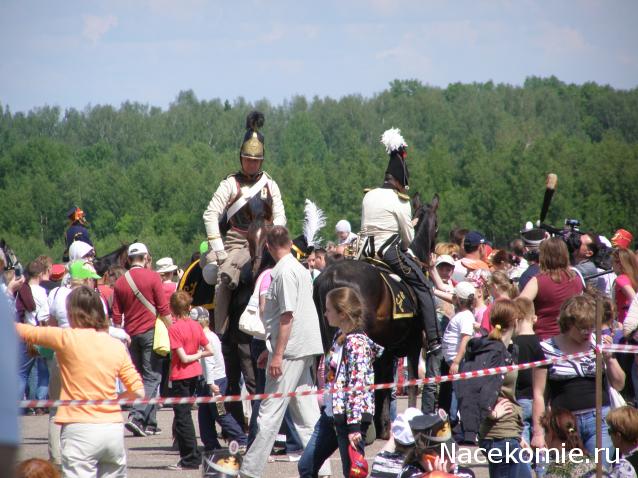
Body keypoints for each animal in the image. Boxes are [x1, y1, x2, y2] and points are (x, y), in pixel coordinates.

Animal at [314, 192, 440, 438]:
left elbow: (384, 385)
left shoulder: (387, 351)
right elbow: (410, 382)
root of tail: (332, 275)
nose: (433, 259)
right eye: (437, 226)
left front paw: (384, 425)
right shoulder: (413, 345)